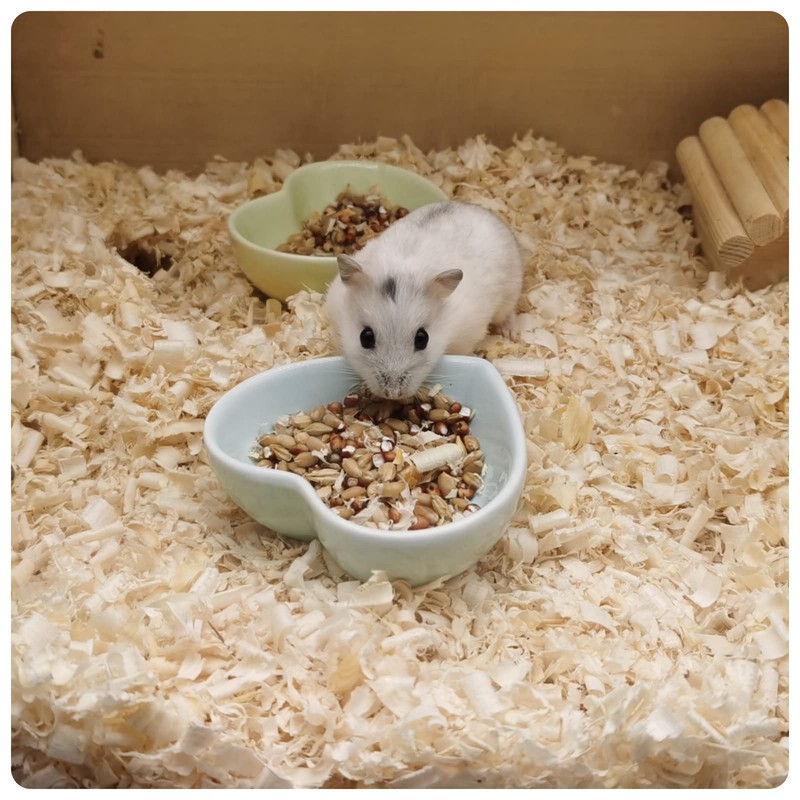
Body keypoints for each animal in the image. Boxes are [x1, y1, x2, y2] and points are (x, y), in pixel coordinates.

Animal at [324, 200, 523, 400]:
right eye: (365, 337)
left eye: (422, 339)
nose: (393, 394)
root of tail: (475, 207)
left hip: (509, 293)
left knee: (508, 313)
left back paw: (511, 334)